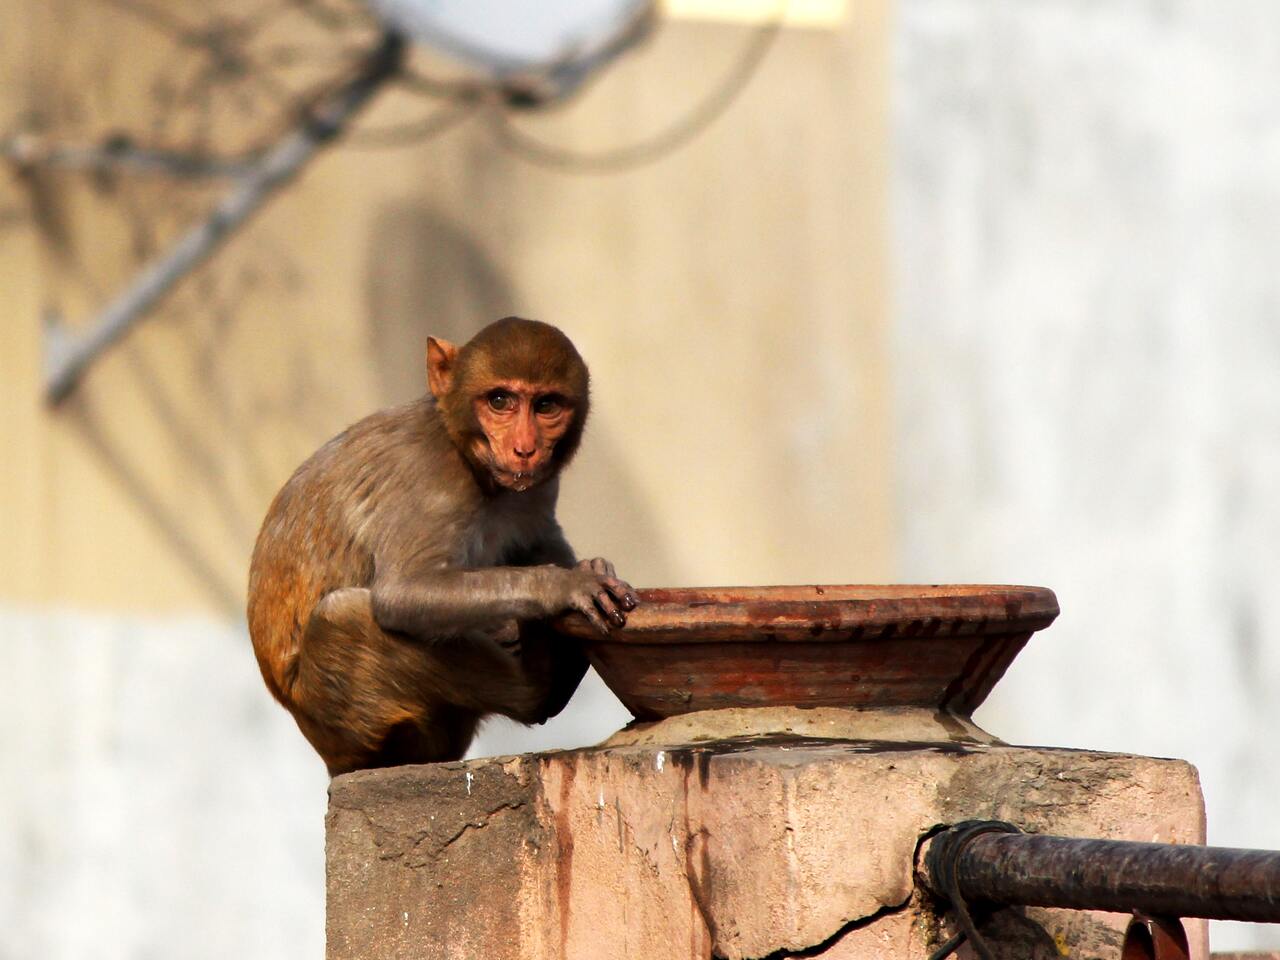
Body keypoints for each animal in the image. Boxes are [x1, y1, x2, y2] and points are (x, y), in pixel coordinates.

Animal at [244, 320, 634, 778]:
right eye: (500, 400)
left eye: (546, 405)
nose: (525, 449)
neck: (468, 456)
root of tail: (332, 758)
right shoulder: (430, 477)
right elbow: (403, 594)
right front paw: (564, 586)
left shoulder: (539, 486)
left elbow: (541, 539)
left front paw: (588, 565)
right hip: (344, 717)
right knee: (342, 616)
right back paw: (541, 683)